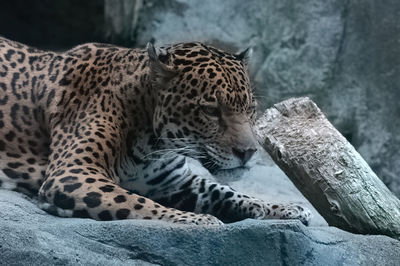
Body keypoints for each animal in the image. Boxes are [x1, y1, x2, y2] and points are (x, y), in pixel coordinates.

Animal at [0, 35, 312, 224]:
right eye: (211, 110)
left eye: (250, 109)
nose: (248, 153)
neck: (152, 145)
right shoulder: (72, 174)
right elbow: (136, 203)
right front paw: (201, 221)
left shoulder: (174, 182)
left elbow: (225, 192)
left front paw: (283, 208)